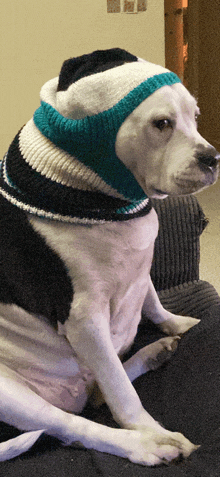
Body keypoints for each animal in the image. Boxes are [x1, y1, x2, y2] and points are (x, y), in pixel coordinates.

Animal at [0, 49, 218, 464]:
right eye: (162, 124)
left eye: (195, 117)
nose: (212, 157)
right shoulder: (85, 320)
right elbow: (121, 392)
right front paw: (149, 431)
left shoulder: (141, 266)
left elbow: (151, 299)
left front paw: (178, 324)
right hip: (12, 392)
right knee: (77, 425)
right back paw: (147, 443)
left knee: (100, 394)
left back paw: (153, 353)